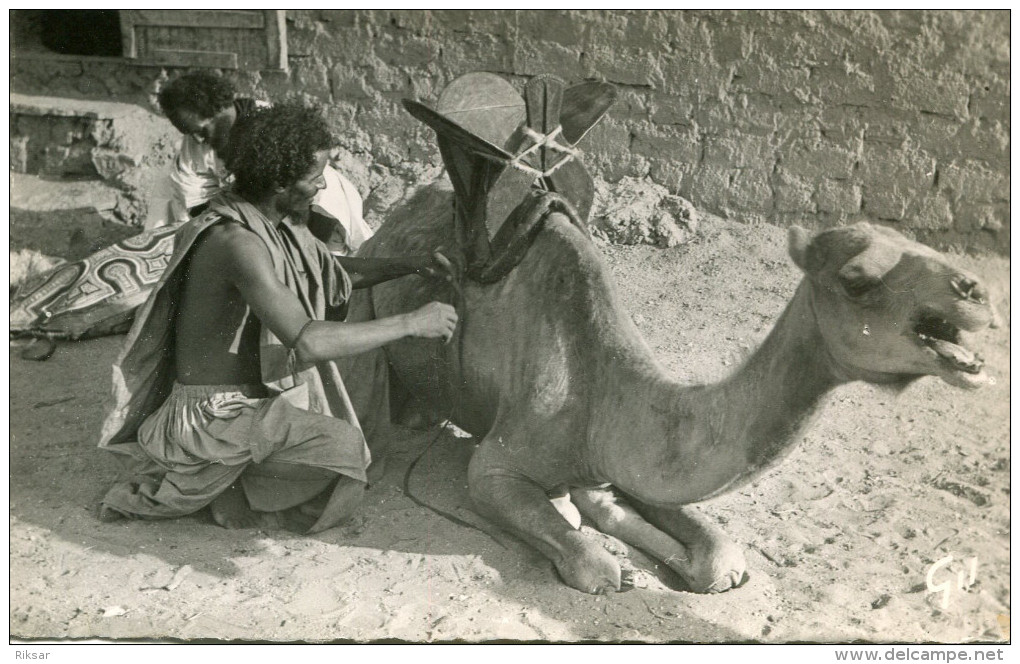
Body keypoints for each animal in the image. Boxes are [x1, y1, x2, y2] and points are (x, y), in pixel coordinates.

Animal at [341, 180, 996, 595]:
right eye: (857, 280)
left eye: (922, 244)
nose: (976, 292)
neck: (600, 394)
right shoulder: (495, 466)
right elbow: (589, 562)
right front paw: (615, 563)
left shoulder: (624, 457)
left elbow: (716, 550)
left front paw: (676, 561)